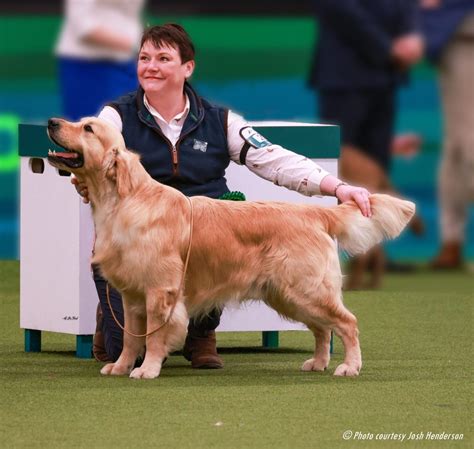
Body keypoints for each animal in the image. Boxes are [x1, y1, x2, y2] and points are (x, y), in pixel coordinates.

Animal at [45, 116, 414, 378]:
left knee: (347, 322)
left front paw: (147, 369)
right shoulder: (132, 296)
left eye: (88, 128)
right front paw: (121, 367)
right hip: (290, 295)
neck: (123, 201)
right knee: (323, 329)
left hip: (307, 290)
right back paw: (318, 362)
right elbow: (130, 338)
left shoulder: (160, 292)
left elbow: (153, 336)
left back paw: (349, 366)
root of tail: (314, 212)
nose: (50, 121)